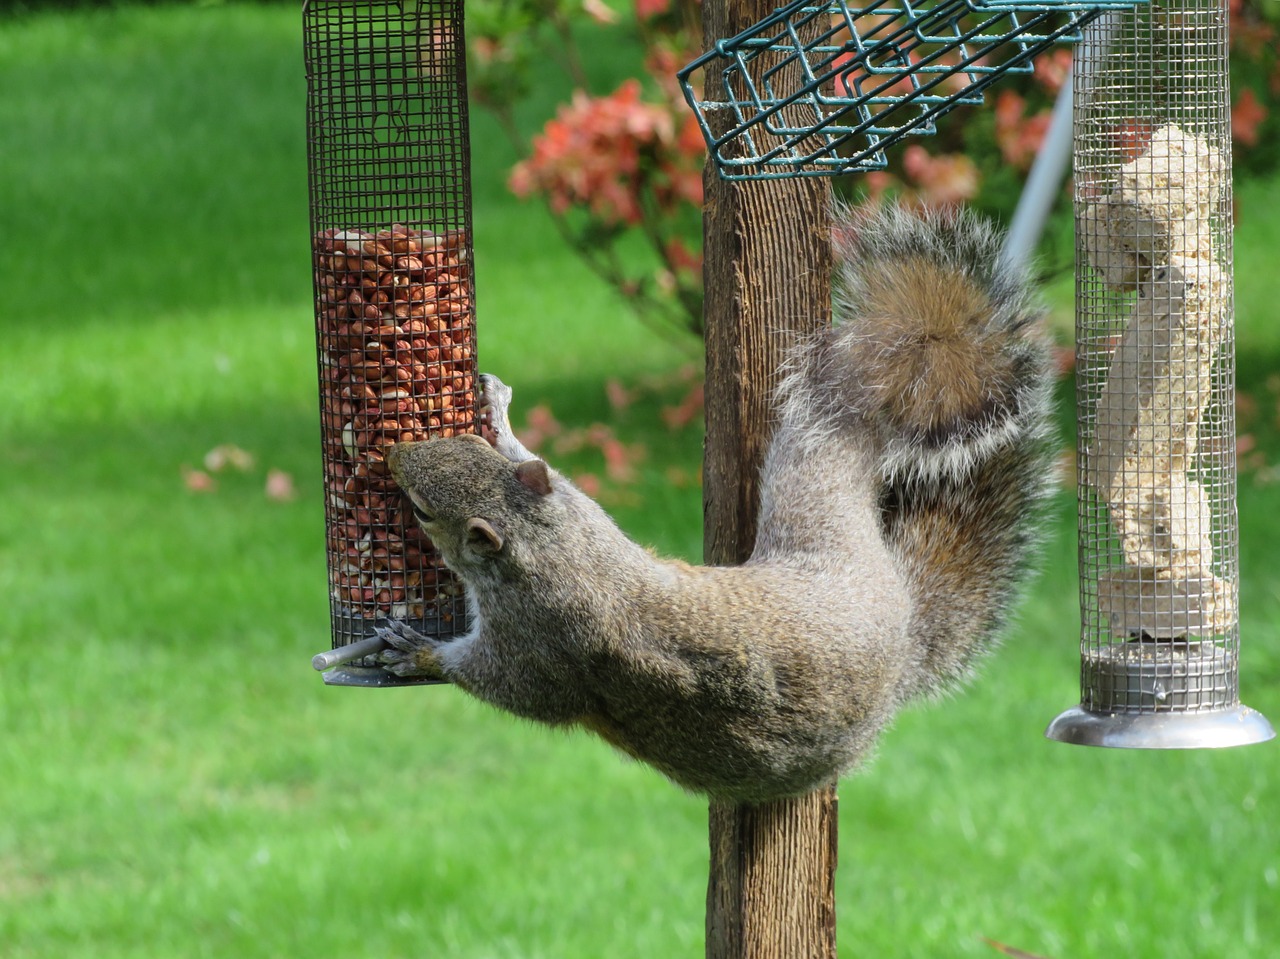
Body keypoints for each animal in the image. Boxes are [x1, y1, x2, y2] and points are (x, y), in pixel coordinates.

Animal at [373, 206, 1054, 804]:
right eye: (461, 447)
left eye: (423, 510)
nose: (395, 457)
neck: (545, 542)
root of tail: (901, 623)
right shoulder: (579, 510)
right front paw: (498, 414)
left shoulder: (539, 640)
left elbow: (509, 686)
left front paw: (418, 653)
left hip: (808, 499)